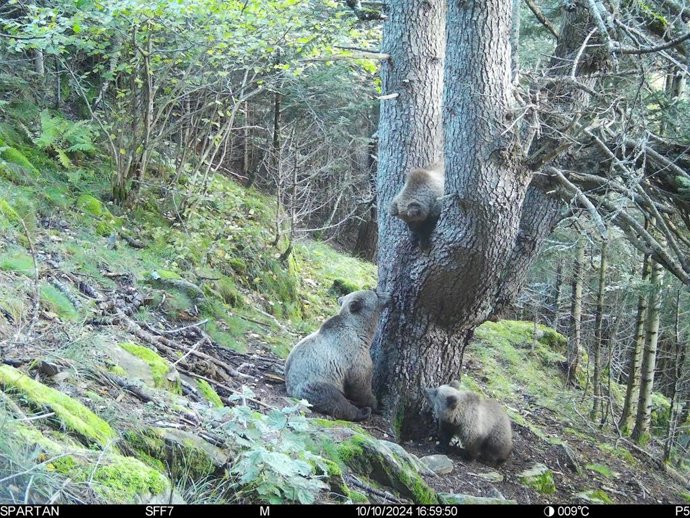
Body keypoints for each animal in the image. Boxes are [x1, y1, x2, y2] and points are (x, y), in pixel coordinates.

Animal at [284, 289, 390, 421]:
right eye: (375, 292)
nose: (389, 296)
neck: (362, 333)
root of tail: (291, 391)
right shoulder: (354, 356)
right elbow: (360, 387)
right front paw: (377, 405)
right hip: (316, 384)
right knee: (336, 401)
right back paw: (362, 412)